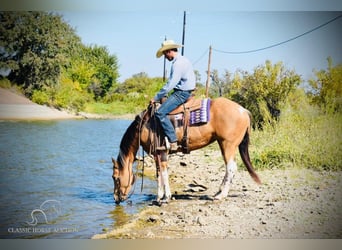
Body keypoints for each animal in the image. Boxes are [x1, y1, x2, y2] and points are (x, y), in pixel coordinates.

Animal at [111, 96, 260, 204]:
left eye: (115, 178)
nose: (116, 198)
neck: (144, 126)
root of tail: (243, 110)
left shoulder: (162, 152)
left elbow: (164, 173)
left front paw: (166, 198)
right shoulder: (157, 154)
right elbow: (159, 174)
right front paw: (159, 197)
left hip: (228, 144)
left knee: (231, 168)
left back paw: (221, 195)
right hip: (224, 144)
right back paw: (218, 192)